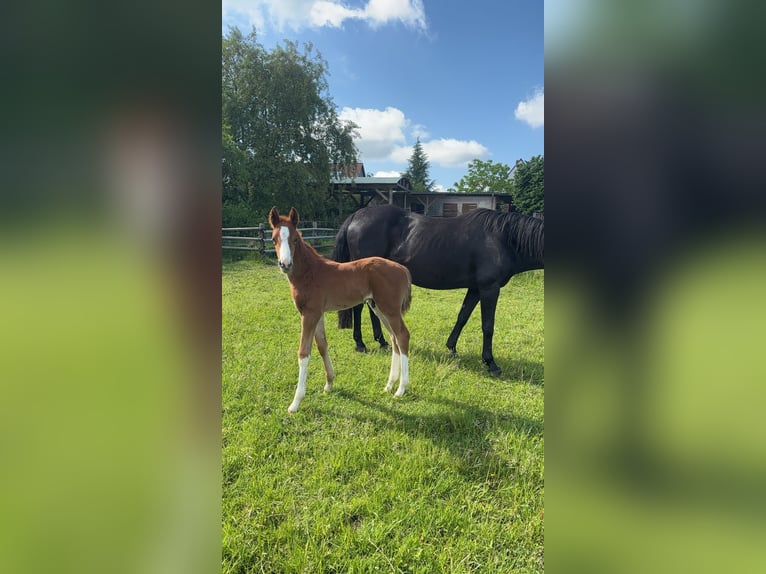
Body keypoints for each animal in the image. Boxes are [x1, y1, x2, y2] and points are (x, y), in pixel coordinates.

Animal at [268, 207, 413, 413]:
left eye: (295, 239)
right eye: (273, 239)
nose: (285, 264)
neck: (310, 273)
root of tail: (403, 270)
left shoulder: (309, 314)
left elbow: (304, 352)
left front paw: (295, 403)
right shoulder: (317, 313)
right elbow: (322, 346)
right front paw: (329, 384)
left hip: (390, 309)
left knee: (402, 336)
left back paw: (401, 389)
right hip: (379, 307)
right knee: (394, 339)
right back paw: (389, 385)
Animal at [332, 204, 544, 376]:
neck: (502, 239)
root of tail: (356, 216)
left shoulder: (475, 288)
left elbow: (463, 317)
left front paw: (451, 348)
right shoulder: (489, 288)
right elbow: (488, 326)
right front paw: (491, 363)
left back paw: (382, 341)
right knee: (359, 307)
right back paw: (360, 344)